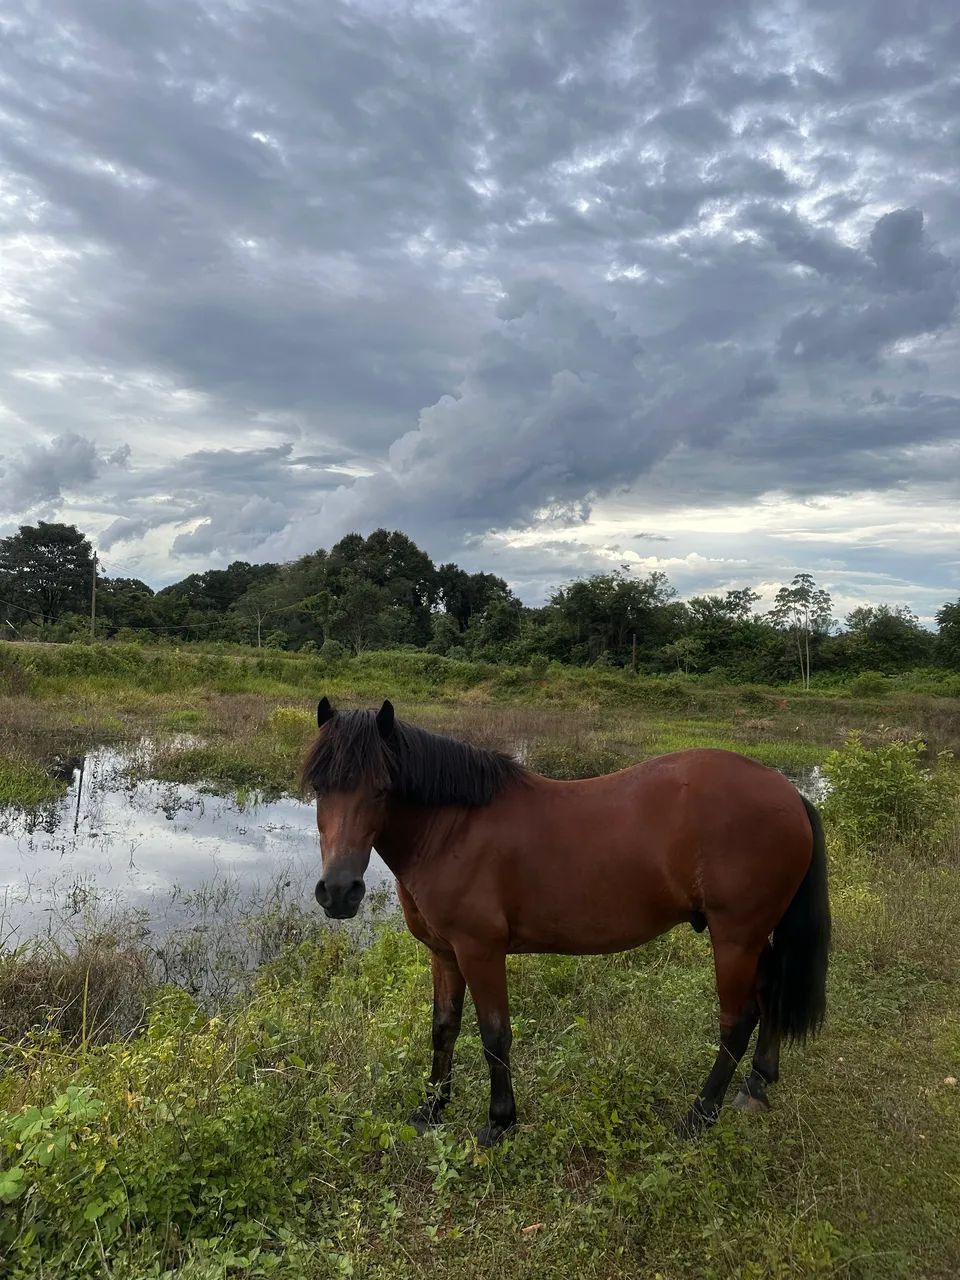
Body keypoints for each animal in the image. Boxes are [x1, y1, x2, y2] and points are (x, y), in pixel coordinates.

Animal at [303, 698, 830, 1144]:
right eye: (319, 787)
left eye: (382, 789)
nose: (339, 892)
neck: (453, 830)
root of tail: (788, 793)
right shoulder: (444, 952)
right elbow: (444, 1026)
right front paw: (431, 1108)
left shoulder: (480, 951)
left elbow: (495, 1035)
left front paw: (499, 1122)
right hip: (753, 937)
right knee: (770, 993)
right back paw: (757, 1085)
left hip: (735, 938)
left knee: (736, 1021)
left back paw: (699, 1115)